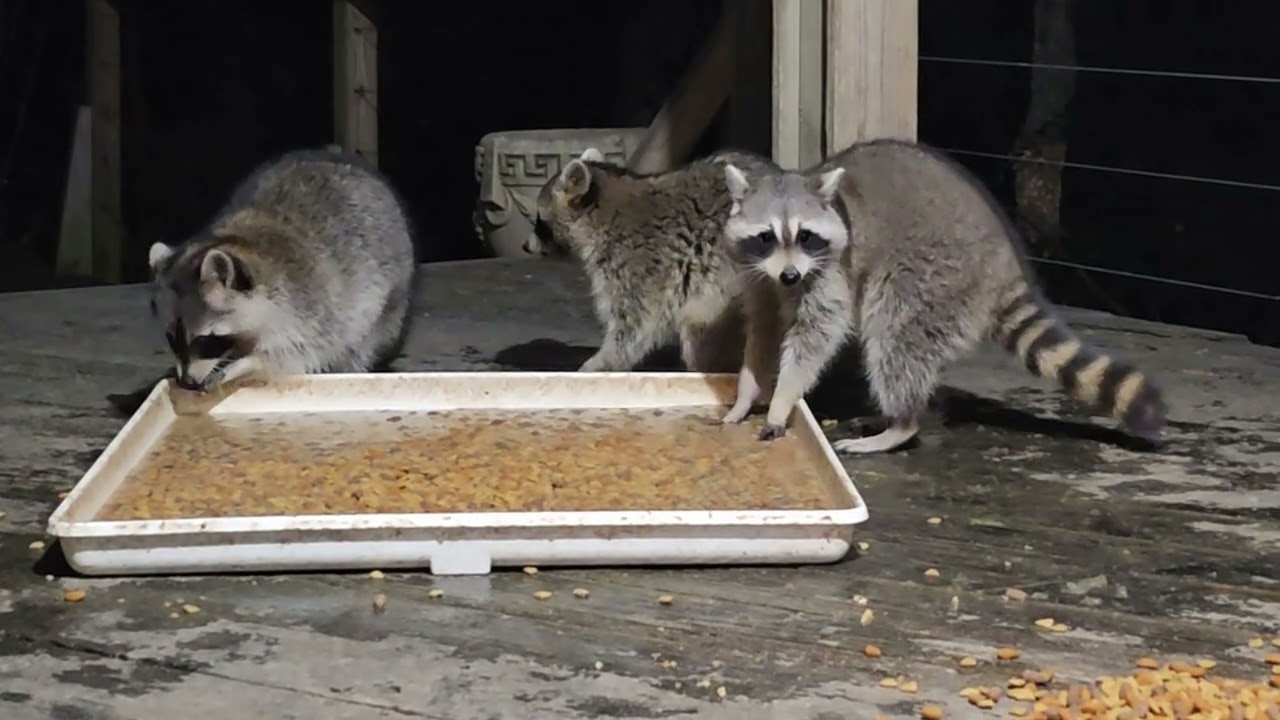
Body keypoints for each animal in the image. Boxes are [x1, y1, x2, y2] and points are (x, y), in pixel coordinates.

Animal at [147, 147, 416, 391]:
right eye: (171, 338)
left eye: (204, 340)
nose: (186, 382)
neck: (238, 242)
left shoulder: (311, 312)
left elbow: (295, 354)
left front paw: (245, 364)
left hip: (390, 301)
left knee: (363, 343)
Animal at [720, 138, 1166, 453]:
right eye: (767, 236)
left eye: (805, 236)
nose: (791, 275)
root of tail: (1003, 257)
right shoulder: (757, 274)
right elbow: (762, 332)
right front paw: (746, 393)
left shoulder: (831, 272)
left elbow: (815, 336)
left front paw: (782, 400)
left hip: (935, 275)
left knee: (895, 340)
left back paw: (902, 424)